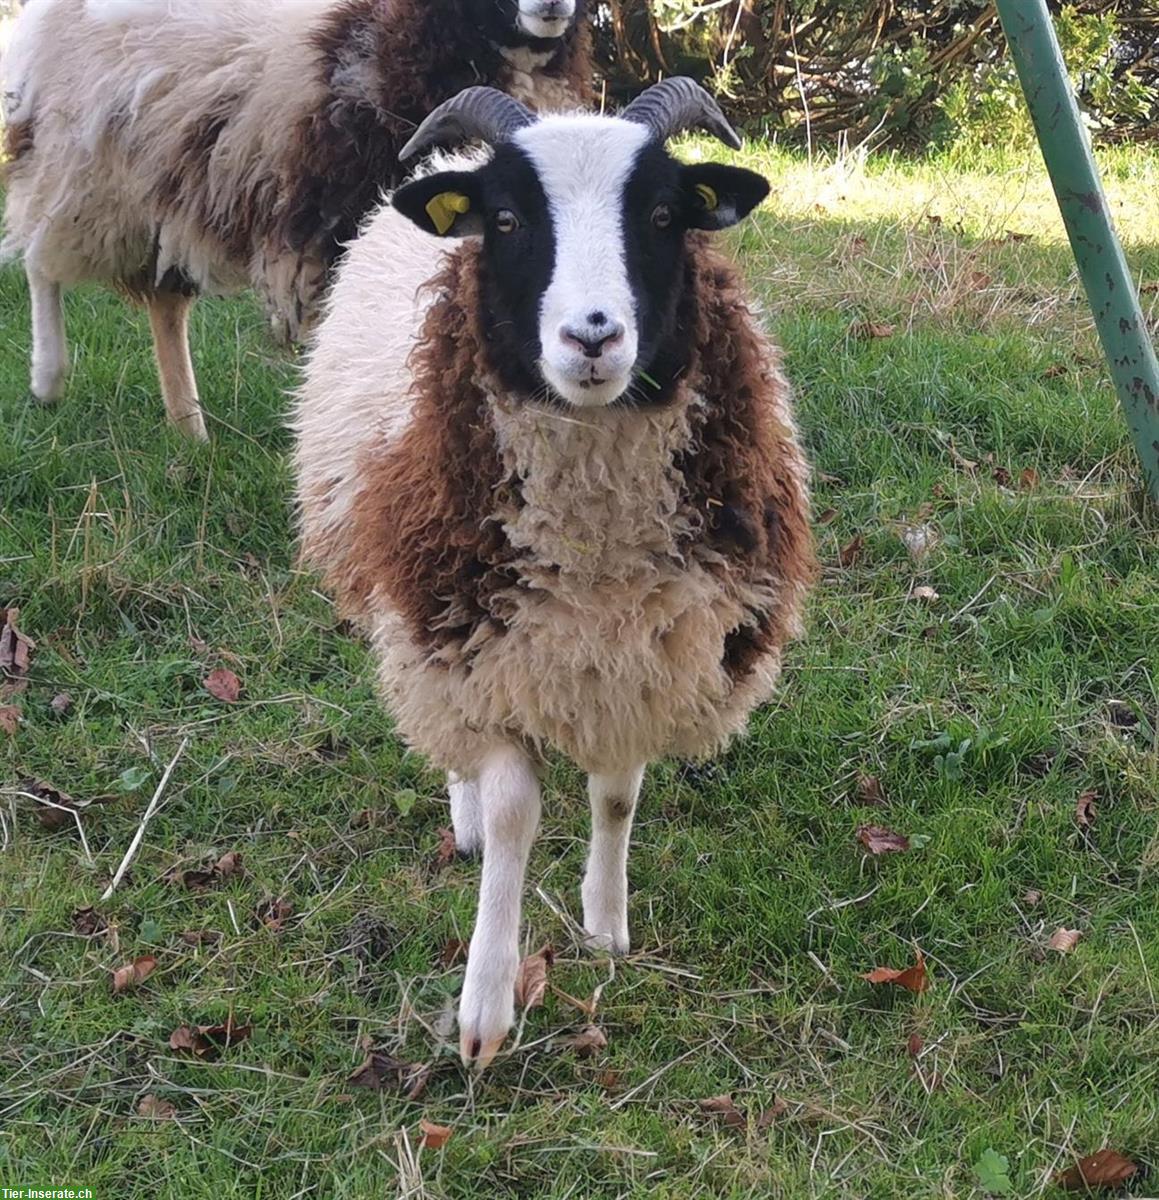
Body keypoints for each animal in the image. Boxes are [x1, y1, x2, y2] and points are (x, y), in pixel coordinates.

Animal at [0, 0, 595, 441]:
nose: (552, 3)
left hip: (165, 195)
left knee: (165, 305)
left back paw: (190, 431)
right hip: (81, 173)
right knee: (39, 258)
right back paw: (49, 379)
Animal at [292, 77, 815, 1070]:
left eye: (661, 214)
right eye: (505, 219)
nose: (591, 337)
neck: (594, 549)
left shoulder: (649, 652)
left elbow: (616, 797)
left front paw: (603, 927)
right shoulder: (474, 644)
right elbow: (511, 817)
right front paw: (485, 1009)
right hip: (425, 615)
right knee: (449, 748)